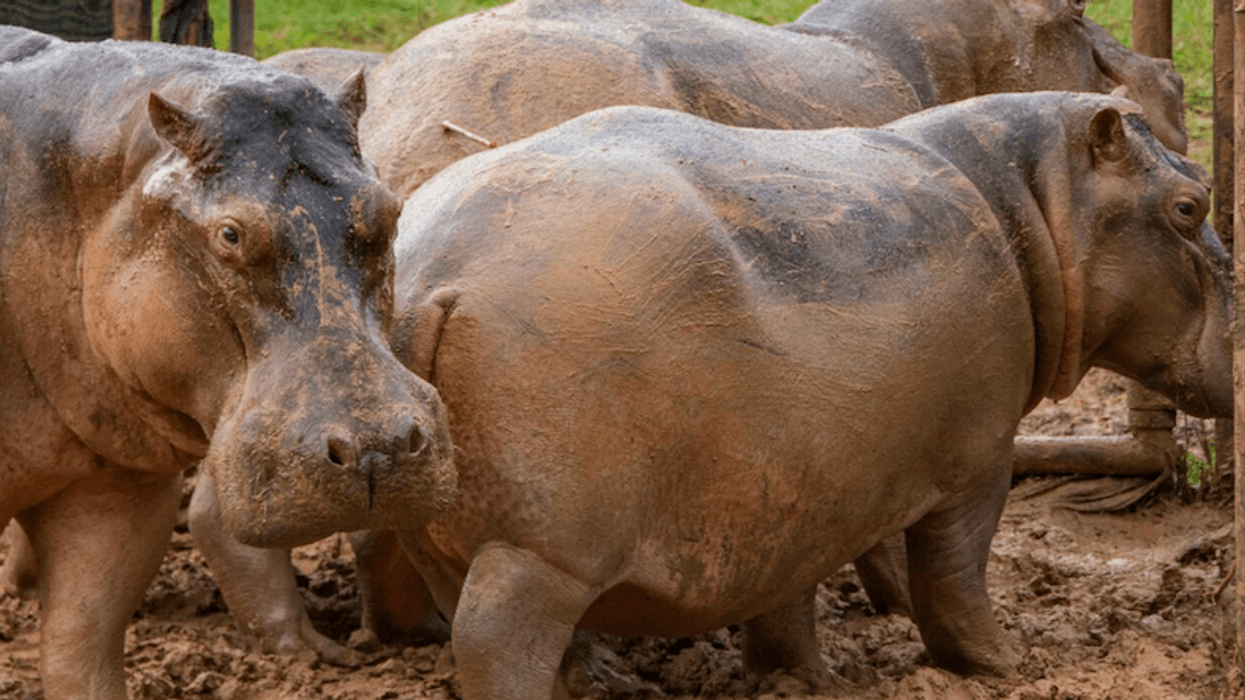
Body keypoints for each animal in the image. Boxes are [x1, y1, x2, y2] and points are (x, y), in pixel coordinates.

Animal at [379, 93, 1229, 698]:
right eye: (1191, 204)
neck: (1032, 203)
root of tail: (434, 277)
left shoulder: (788, 484)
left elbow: (789, 589)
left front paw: (801, 679)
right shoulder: (979, 459)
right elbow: (953, 576)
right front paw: (1007, 666)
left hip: (449, 537)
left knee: (473, 618)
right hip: (542, 554)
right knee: (496, 640)